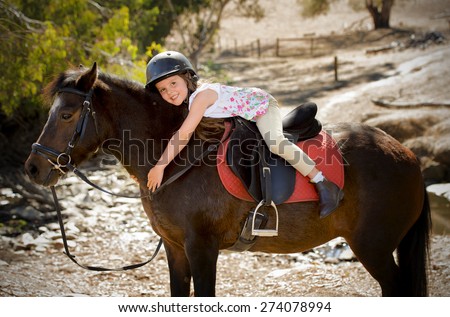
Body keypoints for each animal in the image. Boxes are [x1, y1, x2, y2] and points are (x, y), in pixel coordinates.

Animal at [23, 63, 428, 296]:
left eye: (67, 114)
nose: (33, 169)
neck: (179, 160)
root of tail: (406, 154)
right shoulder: (175, 249)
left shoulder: (202, 248)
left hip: (373, 248)